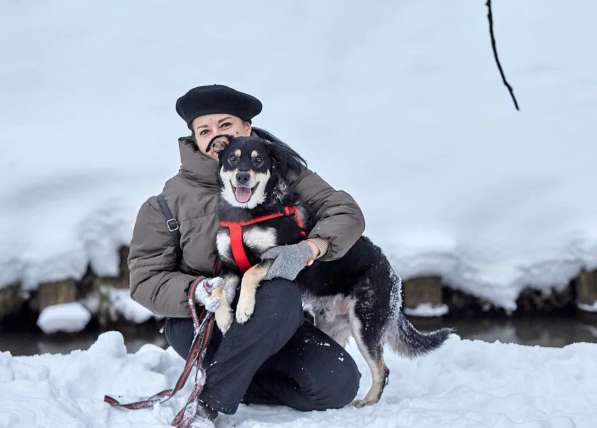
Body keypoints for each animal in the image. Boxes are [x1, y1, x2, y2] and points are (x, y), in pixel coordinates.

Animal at [207, 132, 450, 406]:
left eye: (258, 160)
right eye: (233, 159)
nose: (242, 176)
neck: (247, 215)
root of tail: (394, 278)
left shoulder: (277, 256)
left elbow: (250, 274)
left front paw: (244, 309)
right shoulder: (228, 268)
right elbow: (218, 291)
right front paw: (224, 318)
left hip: (365, 325)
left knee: (382, 369)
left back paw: (367, 403)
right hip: (332, 325)